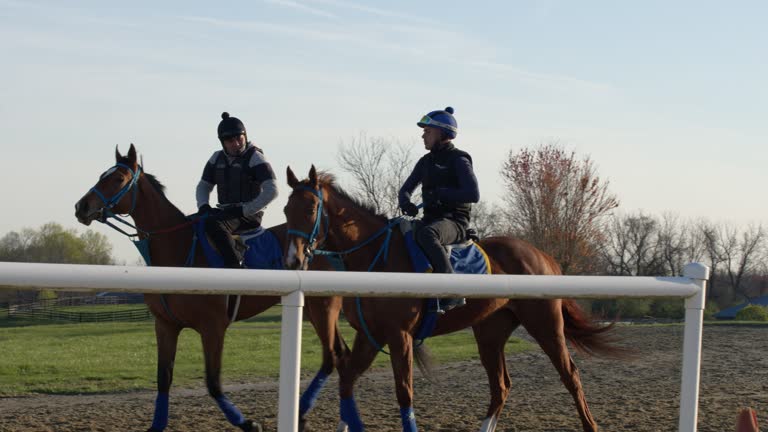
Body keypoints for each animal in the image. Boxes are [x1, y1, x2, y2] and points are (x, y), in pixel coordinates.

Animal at [74, 146, 344, 432]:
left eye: (119, 179)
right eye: (102, 175)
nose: (82, 206)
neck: (179, 249)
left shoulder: (213, 327)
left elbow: (213, 383)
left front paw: (250, 424)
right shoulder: (165, 324)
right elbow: (163, 378)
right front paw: (156, 425)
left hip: (323, 308)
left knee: (334, 356)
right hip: (317, 311)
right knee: (342, 354)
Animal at [282, 164, 624, 430]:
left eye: (310, 209)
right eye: (286, 210)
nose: (292, 261)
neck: (377, 259)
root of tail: (543, 256)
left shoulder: (399, 335)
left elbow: (404, 393)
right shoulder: (370, 335)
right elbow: (347, 382)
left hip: (546, 326)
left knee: (570, 375)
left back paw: (590, 425)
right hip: (490, 332)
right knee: (501, 386)